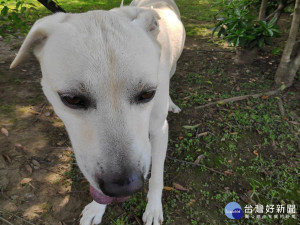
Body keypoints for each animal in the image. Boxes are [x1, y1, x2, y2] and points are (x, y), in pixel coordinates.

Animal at [10, 0, 184, 224]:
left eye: (147, 94)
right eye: (72, 99)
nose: (124, 188)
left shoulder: (159, 130)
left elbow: (157, 176)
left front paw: (153, 208)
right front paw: (96, 208)